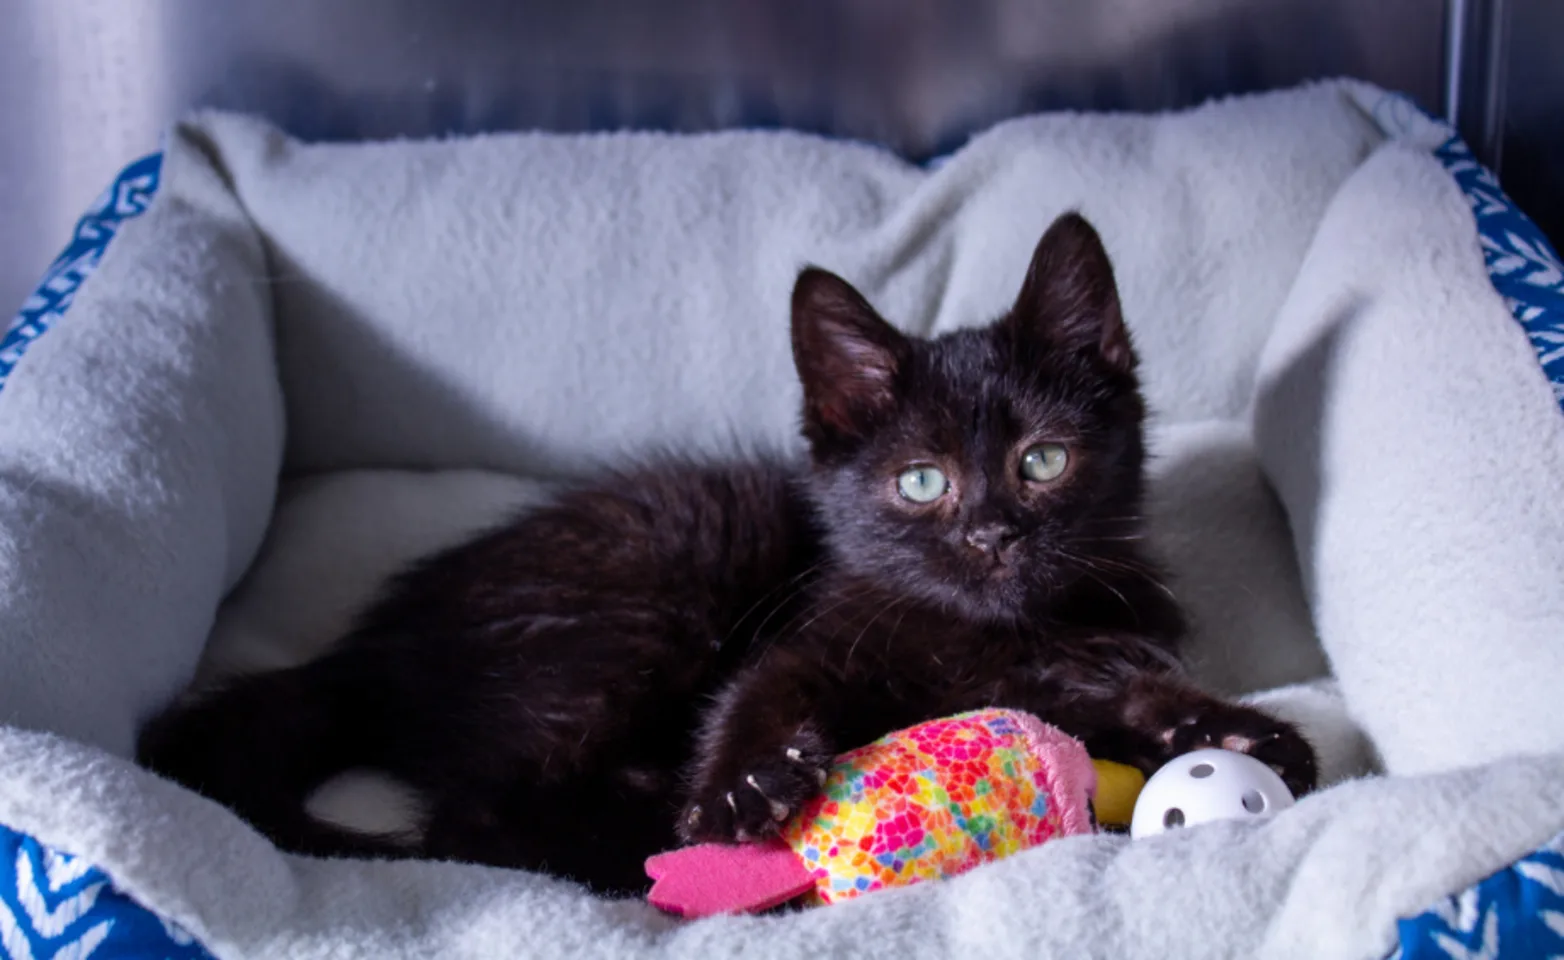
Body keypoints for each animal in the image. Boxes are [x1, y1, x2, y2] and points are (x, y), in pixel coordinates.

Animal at [137, 214, 1320, 900]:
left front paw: (1225, 732)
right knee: (476, 817)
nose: (992, 535)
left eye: (1043, 461)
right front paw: (740, 790)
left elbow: (1113, 689)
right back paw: (635, 839)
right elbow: (762, 686)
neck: (985, 635)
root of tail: (369, 651)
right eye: (922, 482)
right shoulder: (811, 631)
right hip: (655, 592)